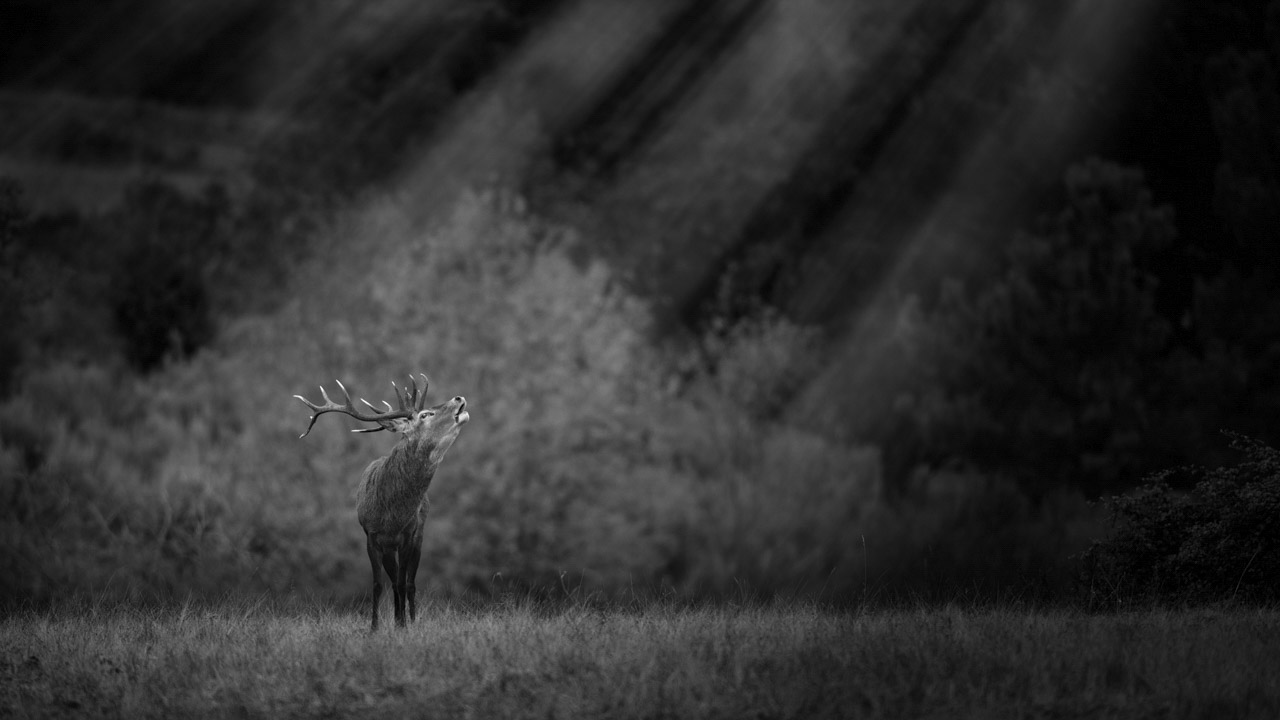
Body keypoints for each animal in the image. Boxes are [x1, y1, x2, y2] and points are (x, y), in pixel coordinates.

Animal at [294, 374, 469, 631]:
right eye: (425, 414)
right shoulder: (372, 535)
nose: (458, 398)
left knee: (409, 582)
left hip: (418, 535)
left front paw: (403, 625)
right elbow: (379, 584)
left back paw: (410, 619)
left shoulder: (408, 534)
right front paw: (375, 627)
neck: (392, 514)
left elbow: (403, 582)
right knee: (394, 579)